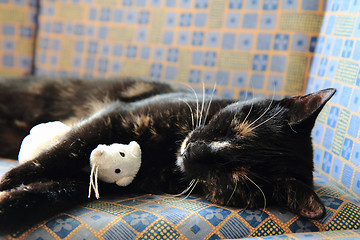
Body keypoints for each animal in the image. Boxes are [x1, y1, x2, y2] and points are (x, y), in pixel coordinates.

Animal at [0, 77, 334, 234]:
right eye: (235, 129)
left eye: (235, 176)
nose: (195, 150)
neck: (165, 153)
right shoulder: (115, 117)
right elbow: (59, 151)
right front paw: (9, 178)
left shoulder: (92, 183)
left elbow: (47, 195)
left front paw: (9, 203)